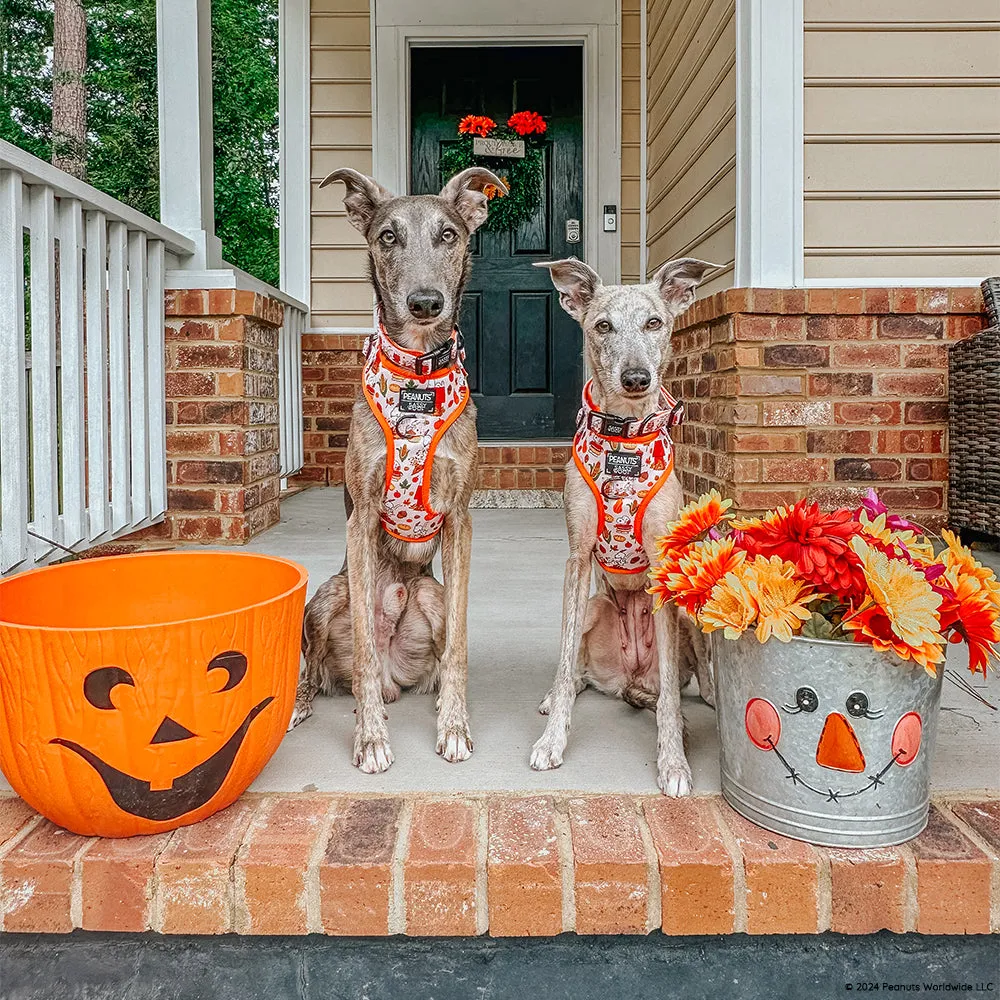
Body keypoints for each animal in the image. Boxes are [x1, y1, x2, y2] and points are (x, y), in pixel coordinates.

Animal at [300, 166, 508, 772]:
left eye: (449, 234)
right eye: (388, 236)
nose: (425, 302)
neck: (416, 374)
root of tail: (399, 677)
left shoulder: (461, 516)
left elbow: (459, 644)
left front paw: (454, 726)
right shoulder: (361, 516)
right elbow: (364, 658)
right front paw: (370, 738)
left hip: (431, 596)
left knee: (433, 653)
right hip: (326, 597)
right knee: (324, 667)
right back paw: (307, 701)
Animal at [532, 258, 720, 796]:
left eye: (655, 322)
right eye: (602, 326)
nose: (636, 377)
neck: (625, 439)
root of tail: (630, 681)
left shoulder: (663, 564)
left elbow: (673, 698)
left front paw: (674, 762)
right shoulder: (576, 559)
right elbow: (562, 660)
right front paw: (552, 741)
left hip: (690, 612)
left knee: (690, 679)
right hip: (593, 607)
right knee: (576, 669)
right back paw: (557, 696)